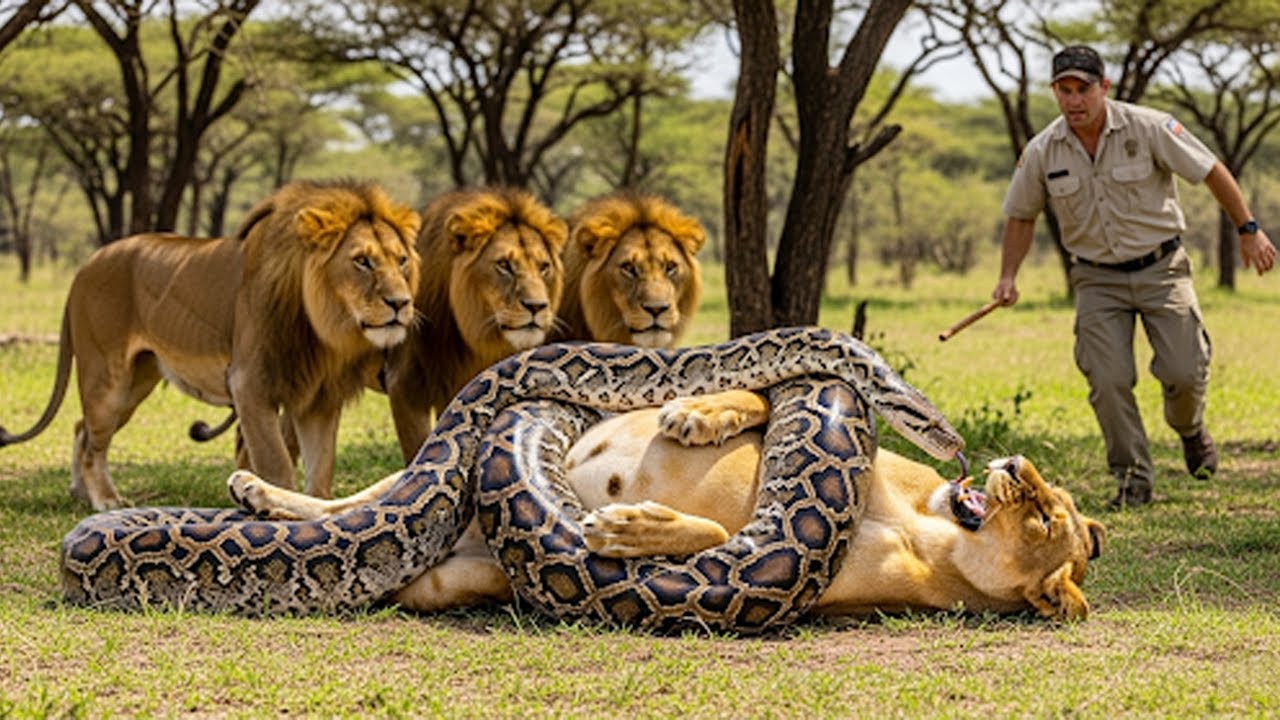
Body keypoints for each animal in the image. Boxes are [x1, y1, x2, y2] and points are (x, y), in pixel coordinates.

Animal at [0, 180, 421, 510]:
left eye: (401, 261)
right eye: (362, 261)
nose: (401, 303)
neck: (323, 327)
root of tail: (85, 266)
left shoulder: (318, 400)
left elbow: (320, 474)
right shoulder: (250, 386)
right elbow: (276, 465)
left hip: (137, 382)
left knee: (81, 427)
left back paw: (80, 492)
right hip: (107, 378)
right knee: (93, 442)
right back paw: (105, 500)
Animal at [229, 390, 1106, 622]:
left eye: (1042, 520)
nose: (1014, 463)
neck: (928, 525)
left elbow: (722, 536)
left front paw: (630, 525)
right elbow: (760, 392)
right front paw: (698, 412)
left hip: (449, 573)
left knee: (394, 530)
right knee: (380, 489)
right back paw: (256, 490)